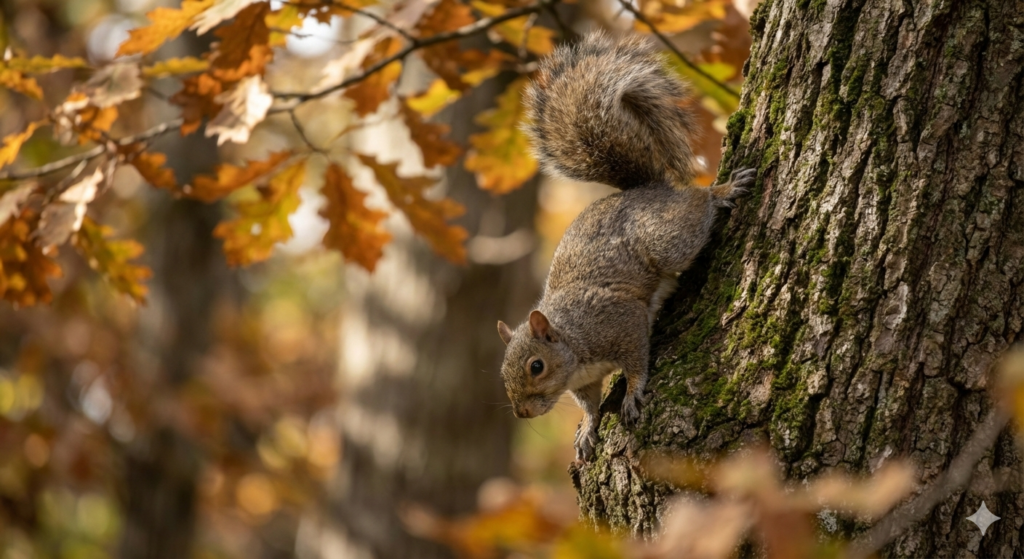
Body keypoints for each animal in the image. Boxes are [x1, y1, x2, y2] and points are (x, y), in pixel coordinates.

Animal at [495, 32, 755, 462]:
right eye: (502, 371)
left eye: (536, 366)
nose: (522, 413)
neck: (573, 344)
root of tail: (645, 190)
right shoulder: (583, 381)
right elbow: (587, 403)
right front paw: (588, 428)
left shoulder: (620, 322)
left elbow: (636, 362)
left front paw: (632, 394)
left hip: (665, 240)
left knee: (694, 207)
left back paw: (721, 191)